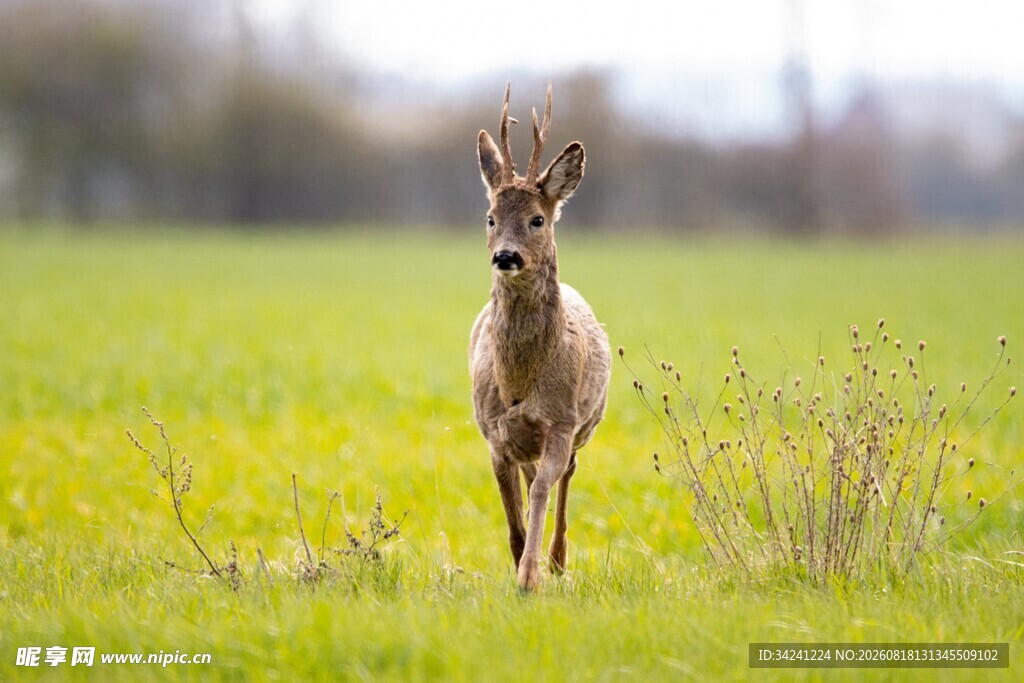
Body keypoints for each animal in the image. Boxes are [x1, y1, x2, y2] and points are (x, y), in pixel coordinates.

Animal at [469, 84, 611, 591]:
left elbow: (542, 493)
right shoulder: (493, 432)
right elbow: (512, 510)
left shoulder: (562, 423)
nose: (506, 256)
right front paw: (518, 564)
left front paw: (531, 575)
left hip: (587, 425)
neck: (520, 382)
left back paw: (558, 559)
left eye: (537, 219)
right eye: (490, 217)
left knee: (565, 478)